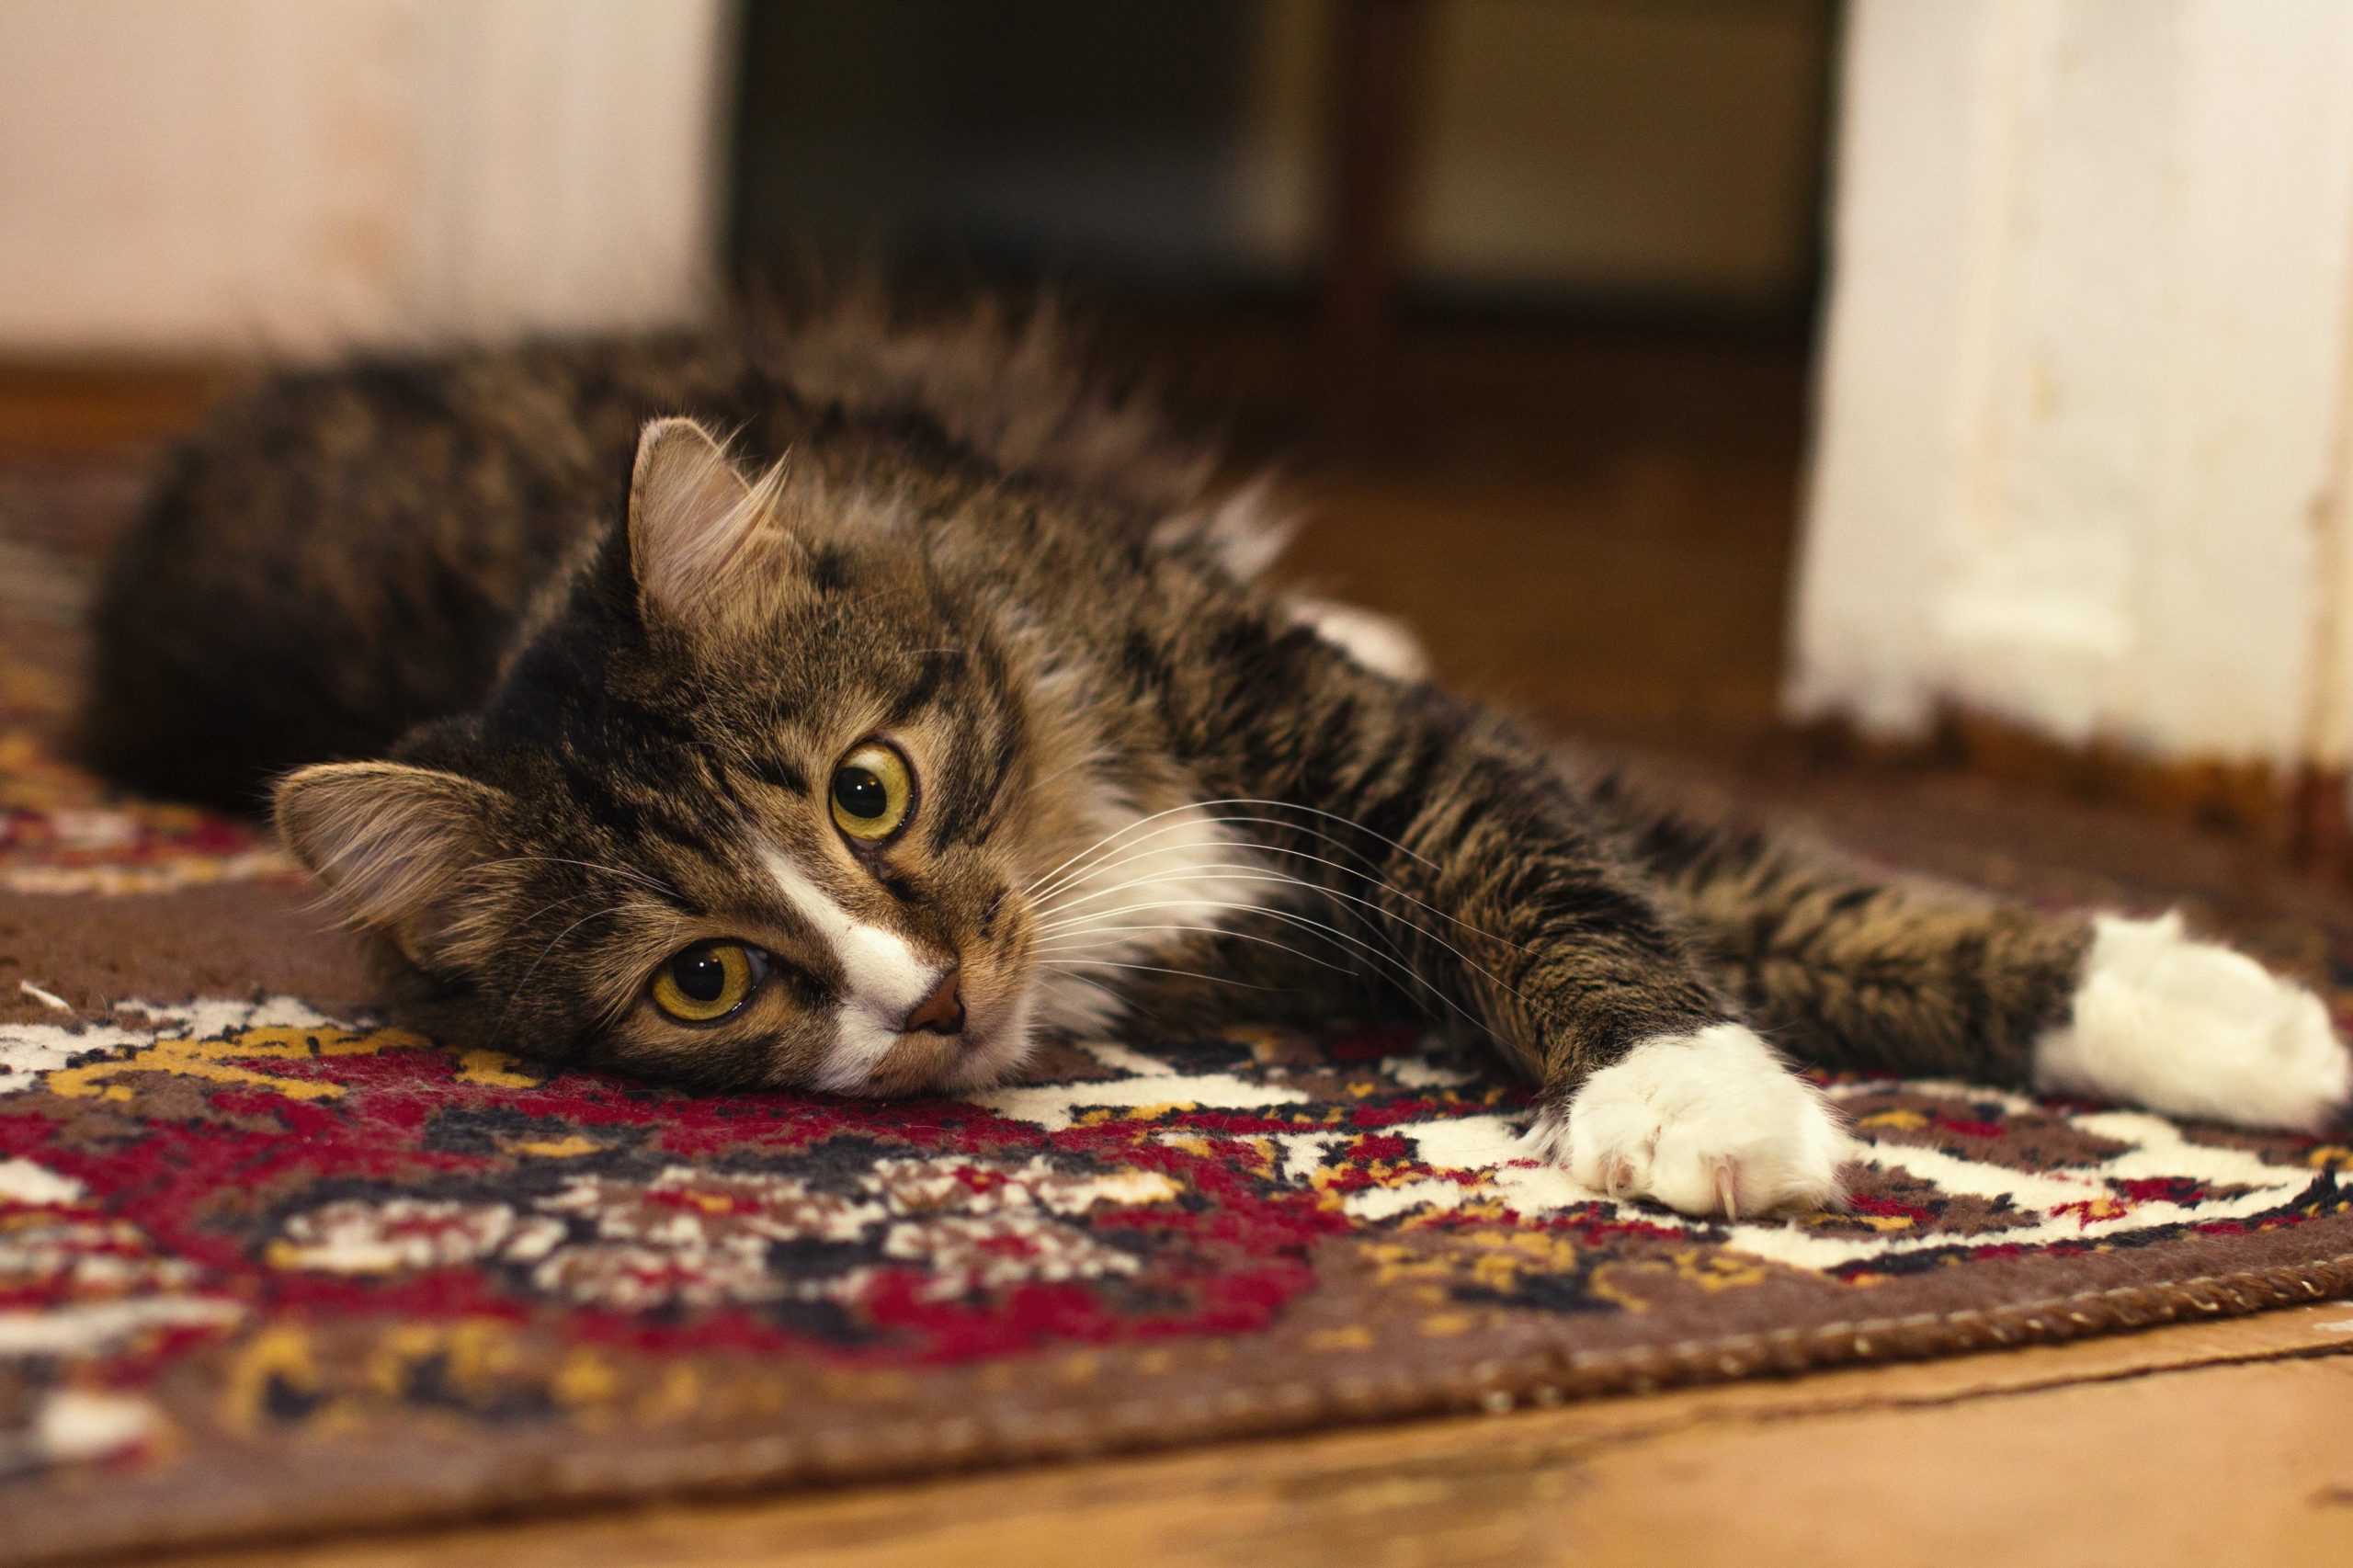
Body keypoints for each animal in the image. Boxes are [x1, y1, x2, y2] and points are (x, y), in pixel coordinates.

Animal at [83, 296, 2343, 1224]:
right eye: (706, 979)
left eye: (868, 790)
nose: (929, 1001)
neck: (1077, 827)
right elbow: (1728, 904)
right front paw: (1709, 1101)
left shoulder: (1381, 759)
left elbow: (1706, 887)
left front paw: (2232, 1022)